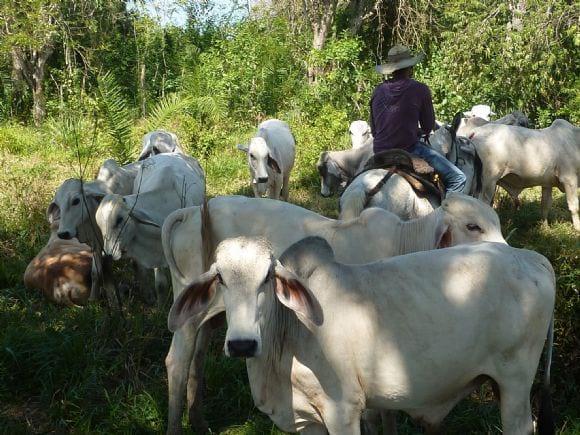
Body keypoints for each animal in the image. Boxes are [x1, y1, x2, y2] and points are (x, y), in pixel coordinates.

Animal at [98, 153, 207, 304]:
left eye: (119, 219)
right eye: (100, 225)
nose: (107, 254)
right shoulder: (158, 253)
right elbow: (160, 284)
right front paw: (160, 306)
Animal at [161, 195, 506, 435]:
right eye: (473, 226)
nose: (507, 251)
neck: (404, 241)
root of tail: (193, 210)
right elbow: (377, 412)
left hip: (211, 318)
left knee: (198, 361)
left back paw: (200, 422)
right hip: (187, 319)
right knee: (177, 364)